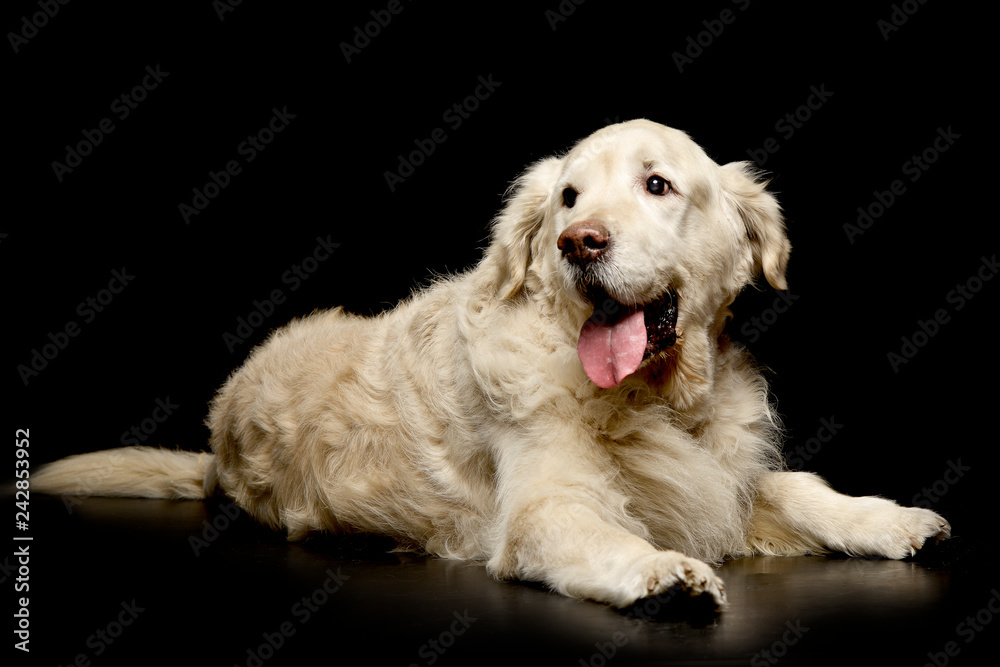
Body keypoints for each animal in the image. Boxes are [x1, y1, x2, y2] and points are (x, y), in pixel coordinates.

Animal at [35, 120, 948, 612]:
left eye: (657, 184)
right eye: (569, 199)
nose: (580, 243)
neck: (659, 401)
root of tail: (218, 441)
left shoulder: (717, 475)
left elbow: (795, 486)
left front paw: (887, 516)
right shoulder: (547, 507)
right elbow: (600, 532)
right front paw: (662, 571)